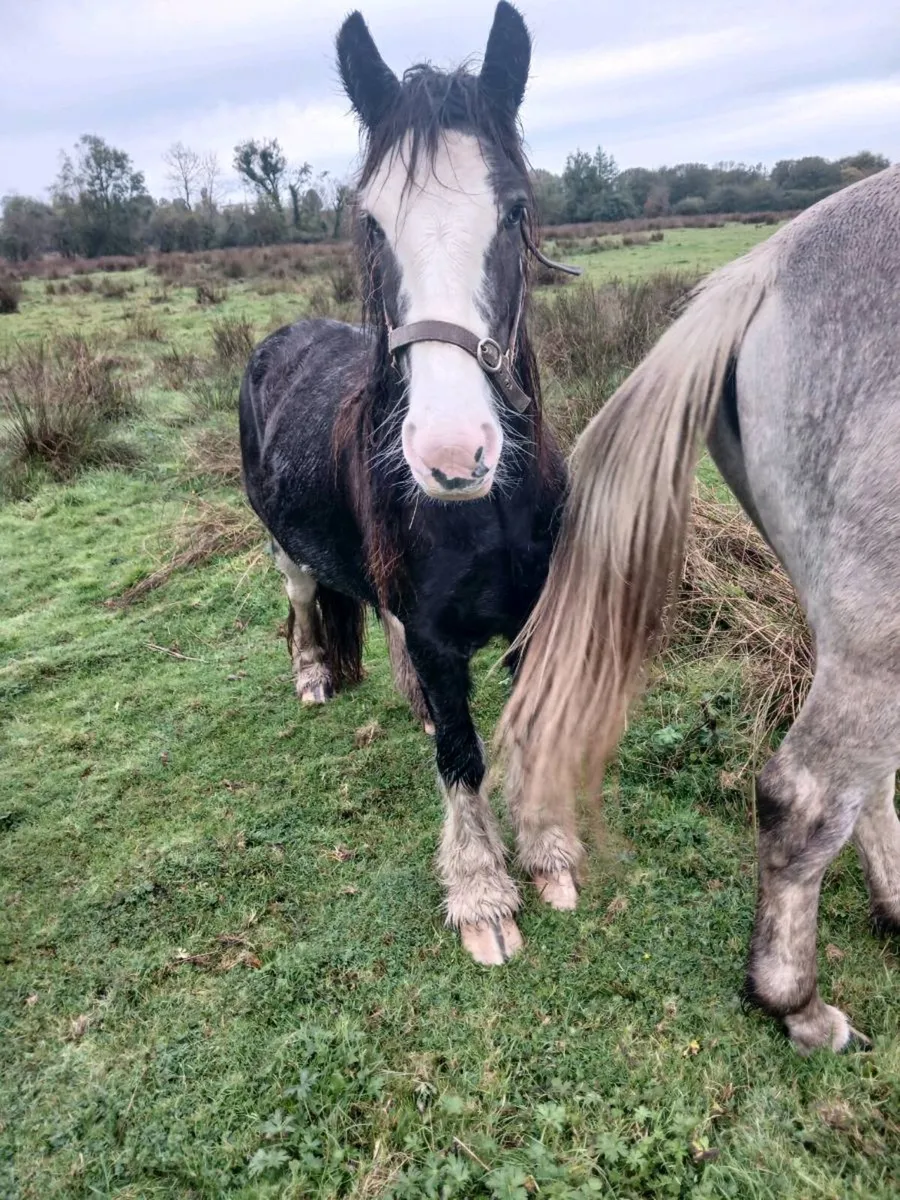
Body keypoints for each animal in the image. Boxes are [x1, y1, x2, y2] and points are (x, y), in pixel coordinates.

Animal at [239, 3, 581, 965]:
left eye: (515, 212)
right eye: (370, 222)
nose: (452, 455)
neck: (487, 511)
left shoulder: (535, 615)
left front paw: (547, 852)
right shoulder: (434, 632)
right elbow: (464, 759)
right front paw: (482, 896)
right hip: (286, 548)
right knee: (306, 600)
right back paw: (315, 675)